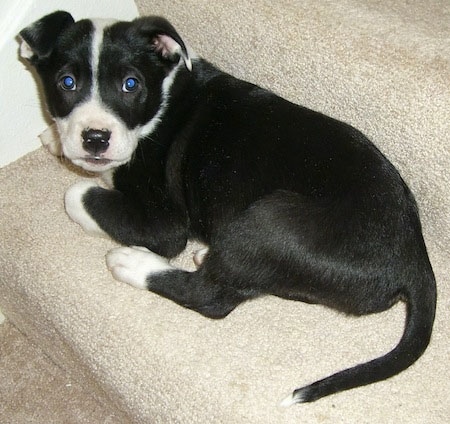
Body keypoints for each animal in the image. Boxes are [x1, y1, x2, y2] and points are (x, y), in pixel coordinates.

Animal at [20, 10, 436, 404]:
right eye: (67, 83)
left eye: (131, 84)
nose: (95, 138)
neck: (162, 99)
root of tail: (414, 257)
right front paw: (55, 138)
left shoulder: (164, 223)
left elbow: (78, 194)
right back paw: (207, 255)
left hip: (268, 222)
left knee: (211, 298)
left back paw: (133, 263)